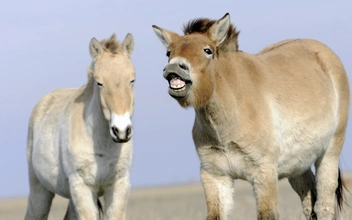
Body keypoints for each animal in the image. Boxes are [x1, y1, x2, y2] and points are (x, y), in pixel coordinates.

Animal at [25, 33, 135, 220]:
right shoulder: (81, 186)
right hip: (40, 191)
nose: (121, 131)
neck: (101, 144)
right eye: (99, 83)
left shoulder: (119, 184)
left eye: (132, 80)